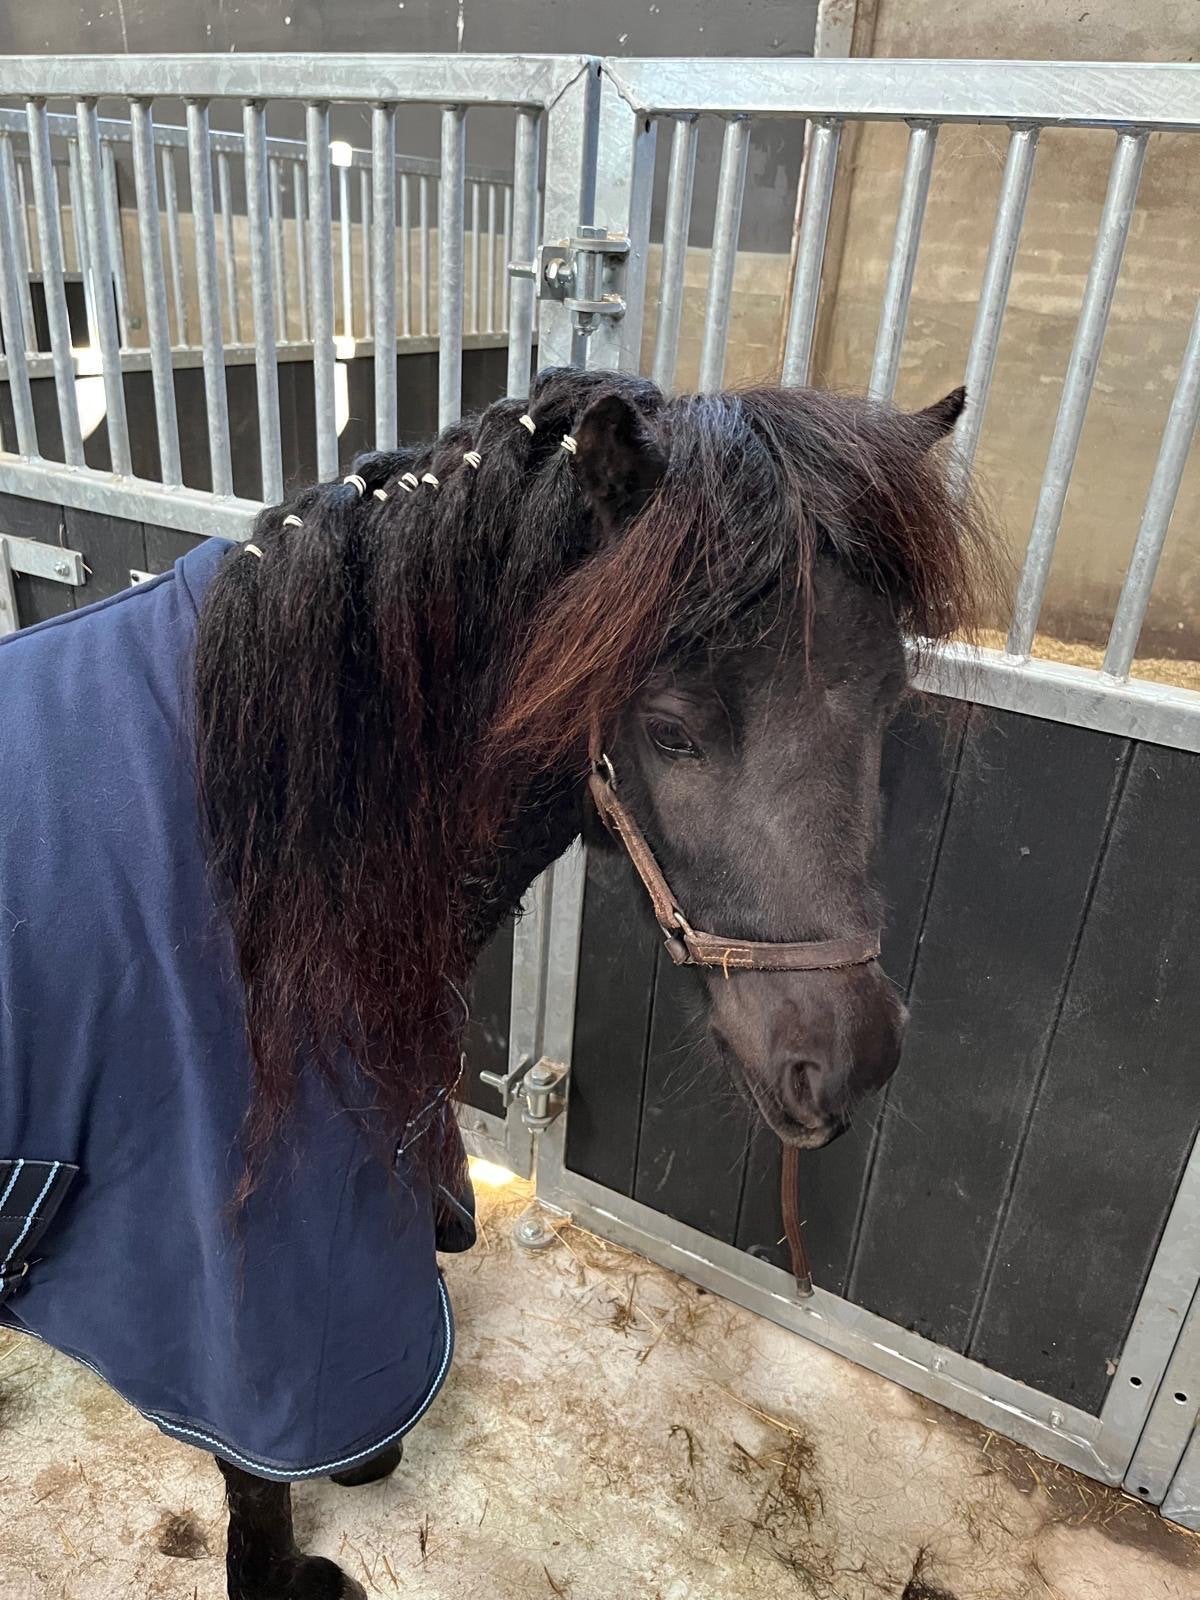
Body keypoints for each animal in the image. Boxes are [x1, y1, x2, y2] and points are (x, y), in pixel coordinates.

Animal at [0, 366, 990, 1599]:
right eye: (670, 730)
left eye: (891, 700)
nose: (848, 1053)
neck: (273, 812)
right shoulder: (235, 1274)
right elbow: (256, 1463)